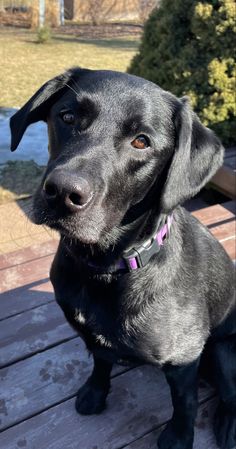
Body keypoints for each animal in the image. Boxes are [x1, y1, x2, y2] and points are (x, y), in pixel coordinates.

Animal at [10, 67, 235, 448]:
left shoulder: (185, 358)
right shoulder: (91, 336)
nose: (62, 192)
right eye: (67, 116)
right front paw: (95, 392)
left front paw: (178, 436)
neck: (104, 268)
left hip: (223, 350)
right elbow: (100, 361)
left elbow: (184, 400)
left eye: (141, 141)